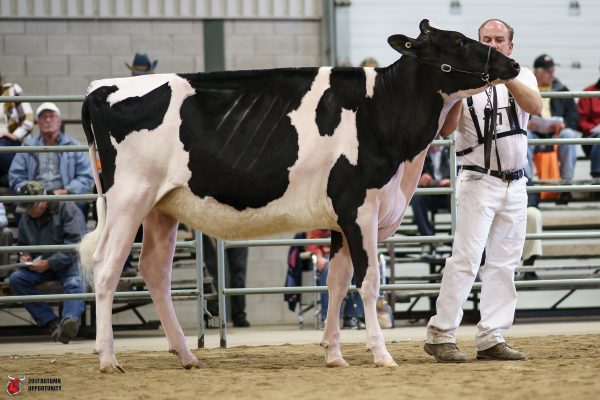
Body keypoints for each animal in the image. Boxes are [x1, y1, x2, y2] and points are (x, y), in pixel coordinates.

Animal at [79, 19, 520, 372]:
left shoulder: (340, 218)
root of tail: (101, 88)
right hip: (128, 198)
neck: (385, 113)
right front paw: (381, 355)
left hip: (161, 208)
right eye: (458, 42)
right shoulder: (359, 206)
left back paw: (186, 355)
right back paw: (107, 359)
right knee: (106, 267)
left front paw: (334, 354)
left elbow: (336, 283)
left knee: (155, 271)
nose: (512, 65)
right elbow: (368, 282)